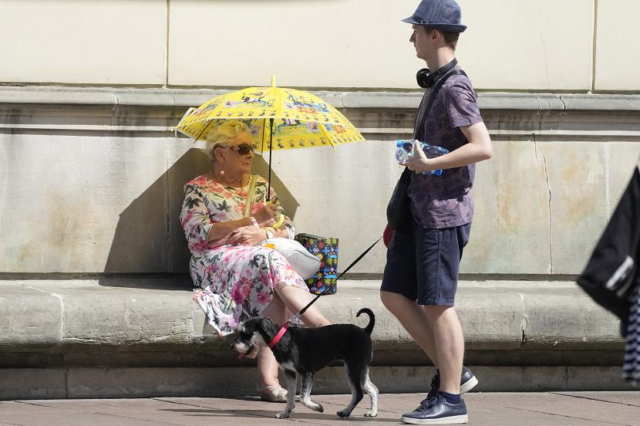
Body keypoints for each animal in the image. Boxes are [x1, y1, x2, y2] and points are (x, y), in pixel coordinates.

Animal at [232, 308, 378, 418]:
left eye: (245, 333)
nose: (233, 346)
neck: (282, 339)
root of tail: (365, 330)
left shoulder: (307, 372)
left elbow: (303, 398)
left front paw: (318, 407)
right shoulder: (290, 373)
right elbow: (291, 395)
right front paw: (285, 413)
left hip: (352, 368)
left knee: (358, 393)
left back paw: (345, 412)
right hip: (362, 369)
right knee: (373, 389)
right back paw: (372, 412)